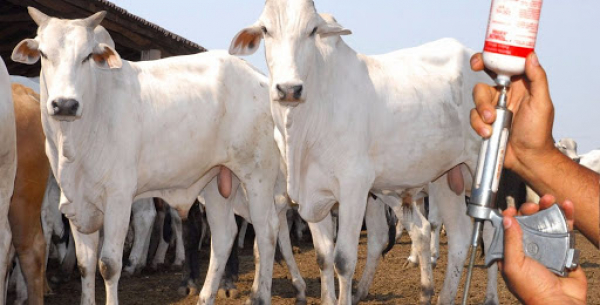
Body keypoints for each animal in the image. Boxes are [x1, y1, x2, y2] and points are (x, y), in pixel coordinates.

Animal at [12, 7, 282, 304]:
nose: (65, 104)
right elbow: (85, 265)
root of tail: (258, 77)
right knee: (224, 236)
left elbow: (108, 265)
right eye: (44, 54)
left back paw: (258, 295)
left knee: (267, 229)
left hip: (257, 176)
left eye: (87, 56)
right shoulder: (76, 204)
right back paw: (205, 296)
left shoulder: (118, 198)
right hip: (217, 182)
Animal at [227, 1, 494, 302]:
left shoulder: (354, 187)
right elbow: (323, 257)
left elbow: (343, 260)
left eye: (312, 30)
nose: (289, 89)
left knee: (490, 232)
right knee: (459, 237)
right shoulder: (312, 196)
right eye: (265, 29)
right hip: (446, 177)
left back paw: (490, 296)